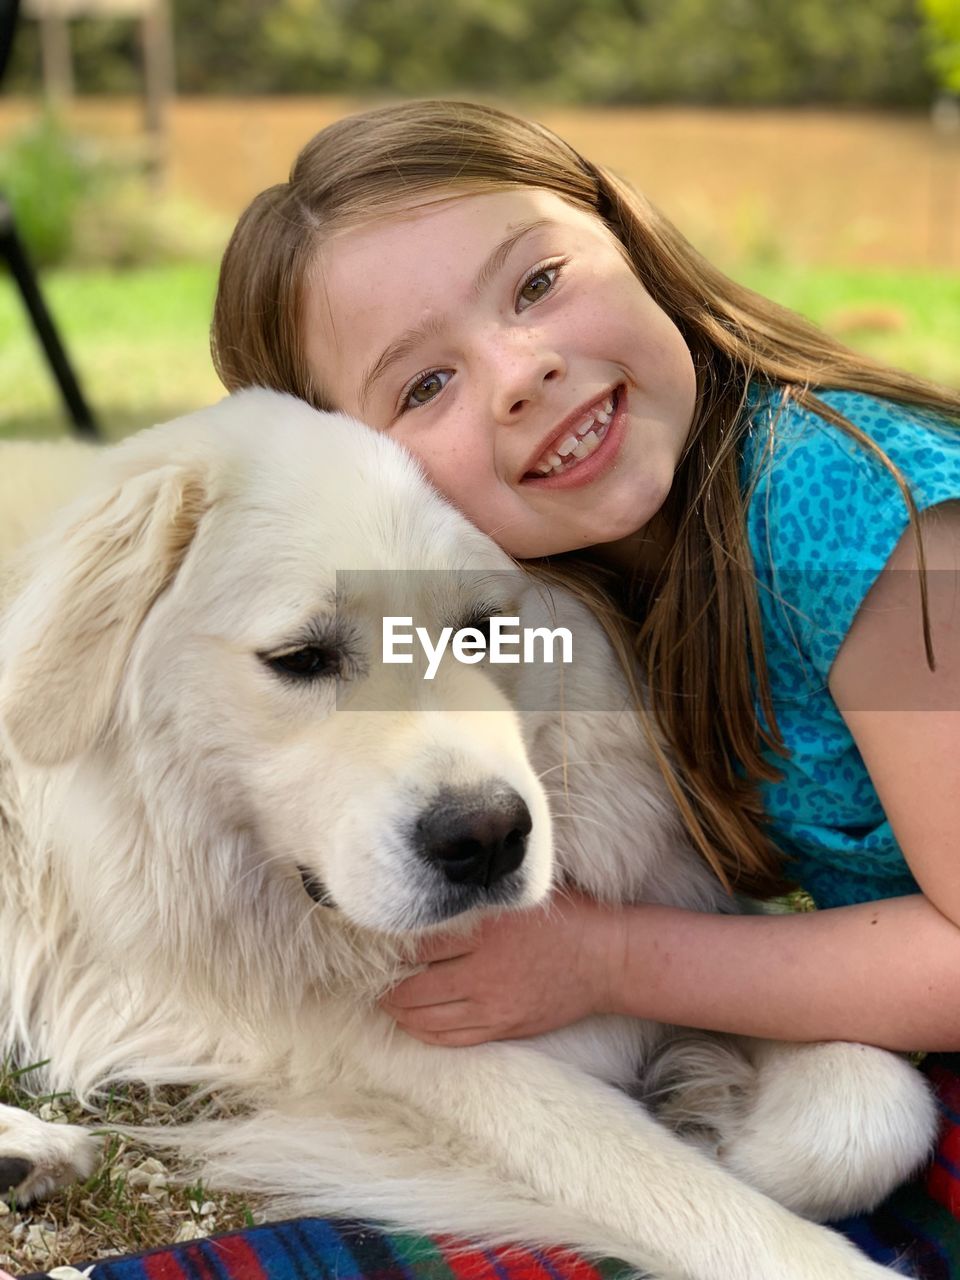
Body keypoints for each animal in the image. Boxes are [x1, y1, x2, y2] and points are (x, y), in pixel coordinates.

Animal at [0, 389, 942, 1280]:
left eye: (484, 628)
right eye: (302, 658)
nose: (486, 841)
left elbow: (873, 1104)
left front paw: (710, 1112)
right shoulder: (387, 1049)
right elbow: (672, 1189)